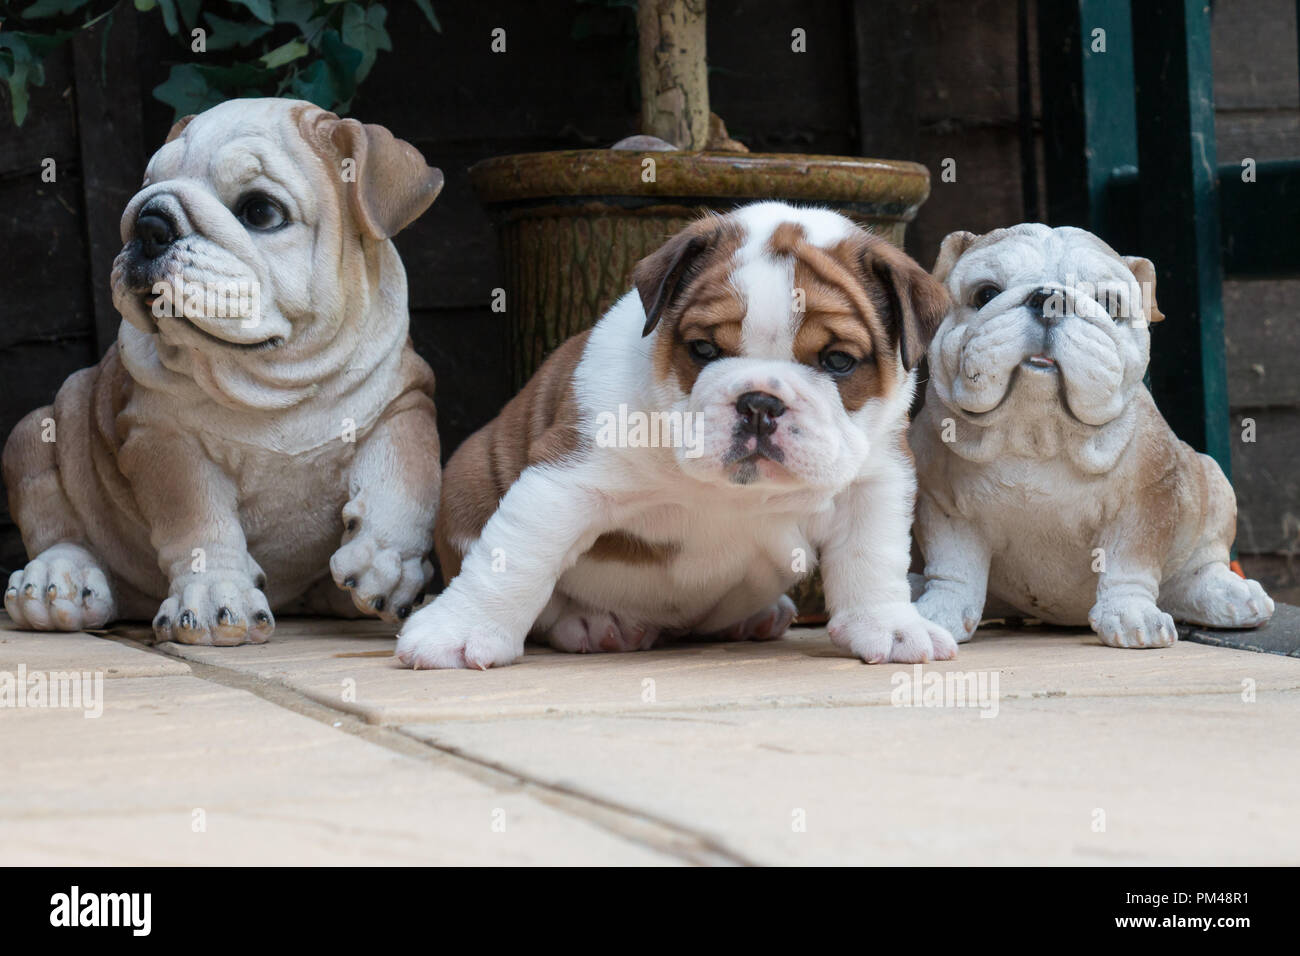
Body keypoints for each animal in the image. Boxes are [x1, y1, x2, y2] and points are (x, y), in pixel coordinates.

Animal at [3, 97, 447, 647]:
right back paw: (56, 579)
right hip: (37, 433)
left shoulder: (404, 401)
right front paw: (215, 593)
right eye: (145, 187)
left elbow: (406, 477)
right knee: (55, 523)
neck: (273, 378)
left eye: (260, 211)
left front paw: (388, 561)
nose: (148, 222)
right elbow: (199, 524)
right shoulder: (164, 439)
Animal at [395, 200, 956, 671]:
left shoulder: (875, 480)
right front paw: (458, 631)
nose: (759, 402)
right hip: (468, 477)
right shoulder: (564, 483)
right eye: (703, 349)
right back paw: (592, 623)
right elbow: (514, 558)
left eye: (838, 361)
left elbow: (873, 556)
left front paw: (889, 627)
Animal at [909, 222, 1274, 650]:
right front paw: (940, 612)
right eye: (985, 294)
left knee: (1199, 565)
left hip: (1211, 481)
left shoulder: (1145, 503)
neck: (1036, 433)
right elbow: (954, 567)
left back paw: (1226, 595)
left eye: (1109, 304)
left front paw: (1131, 614)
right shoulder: (945, 503)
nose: (1049, 298)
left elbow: (1129, 564)